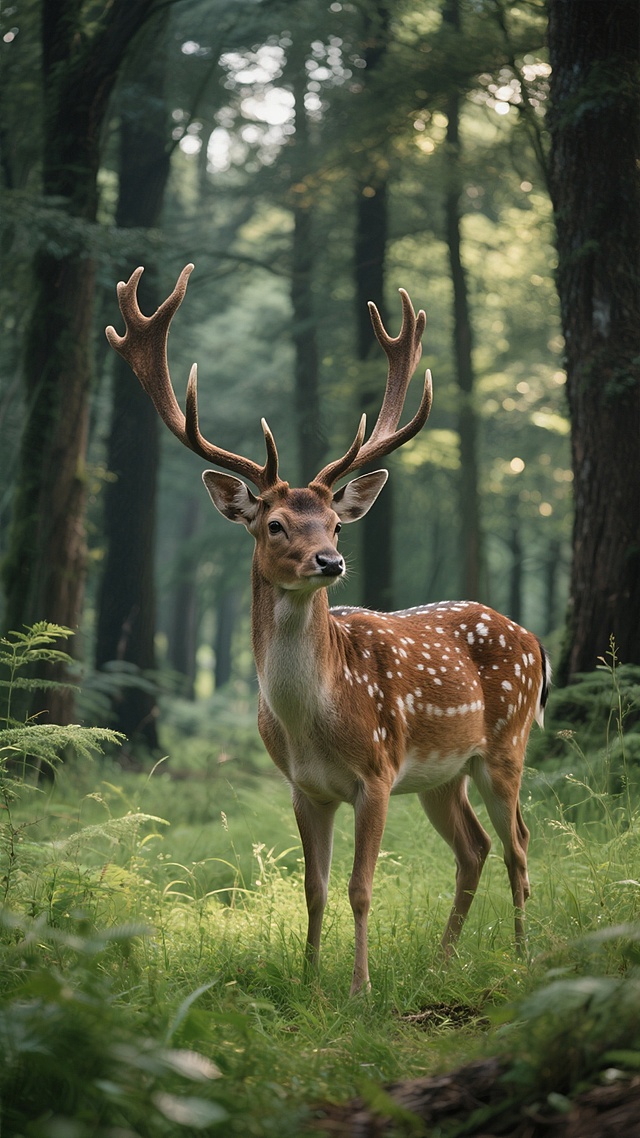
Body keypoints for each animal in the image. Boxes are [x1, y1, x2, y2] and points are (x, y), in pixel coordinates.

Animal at [106, 263, 550, 995]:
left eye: (338, 525)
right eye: (275, 524)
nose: (331, 561)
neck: (316, 717)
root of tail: (533, 639)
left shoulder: (377, 771)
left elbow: (360, 888)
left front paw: (359, 990)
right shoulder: (303, 787)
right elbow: (312, 888)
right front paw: (311, 980)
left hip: (506, 743)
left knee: (517, 843)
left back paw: (520, 952)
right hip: (444, 772)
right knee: (475, 846)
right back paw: (442, 962)